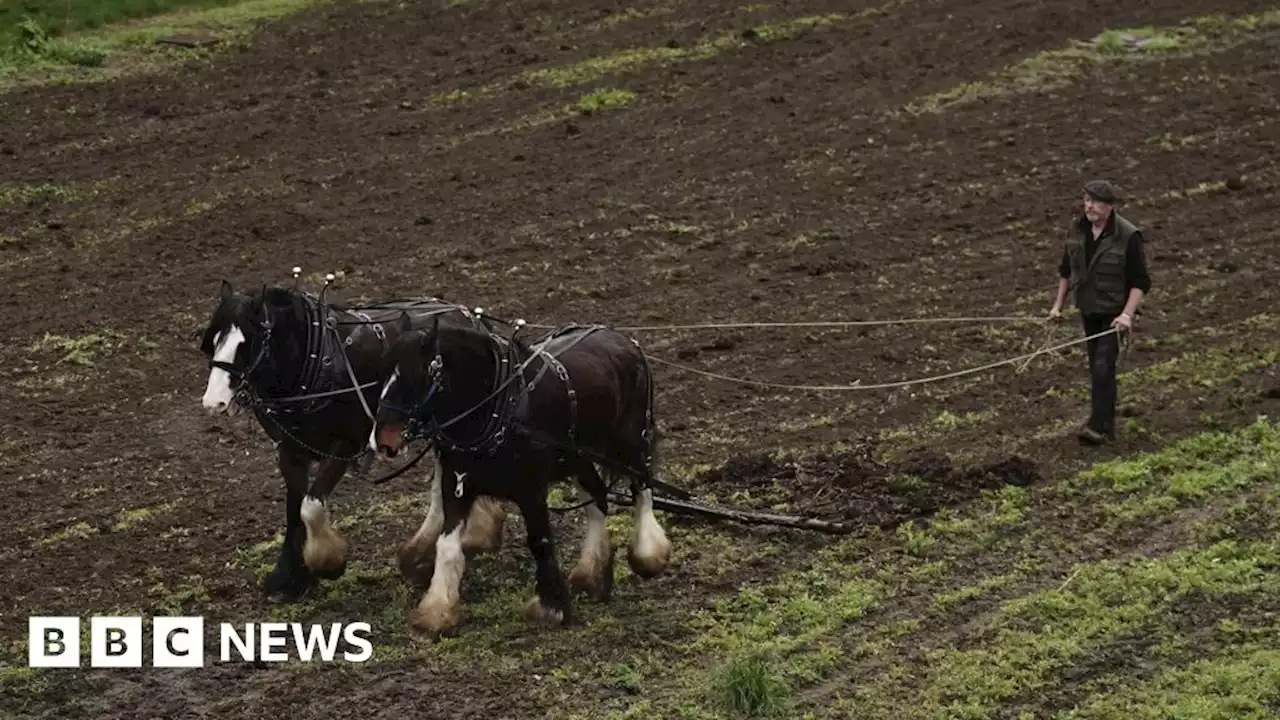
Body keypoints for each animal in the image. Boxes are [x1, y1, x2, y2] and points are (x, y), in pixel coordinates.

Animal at [197, 280, 506, 599]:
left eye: (248, 343)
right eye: (212, 341)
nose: (213, 402)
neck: (316, 363)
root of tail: (471, 317)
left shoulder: (345, 444)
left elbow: (311, 507)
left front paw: (327, 562)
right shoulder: (289, 449)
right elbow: (295, 509)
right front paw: (289, 577)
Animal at [368, 311, 675, 630]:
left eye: (417, 376)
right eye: (383, 373)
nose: (383, 441)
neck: (496, 409)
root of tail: (623, 339)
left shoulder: (531, 490)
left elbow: (540, 542)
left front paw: (551, 607)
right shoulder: (457, 483)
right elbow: (448, 545)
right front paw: (436, 612)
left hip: (631, 442)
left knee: (642, 489)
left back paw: (648, 554)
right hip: (578, 458)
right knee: (598, 501)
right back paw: (591, 574)